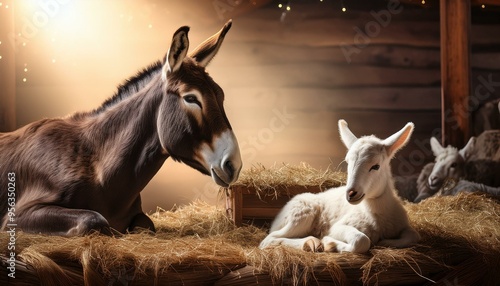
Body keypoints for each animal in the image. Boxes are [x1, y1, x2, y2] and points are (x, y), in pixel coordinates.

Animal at [260, 119, 420, 254]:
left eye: (376, 166)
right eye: (348, 162)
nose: (351, 193)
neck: (377, 213)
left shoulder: (403, 225)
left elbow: (413, 235)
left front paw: (385, 242)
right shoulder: (338, 226)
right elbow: (361, 240)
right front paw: (330, 243)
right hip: (301, 214)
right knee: (269, 239)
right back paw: (311, 243)